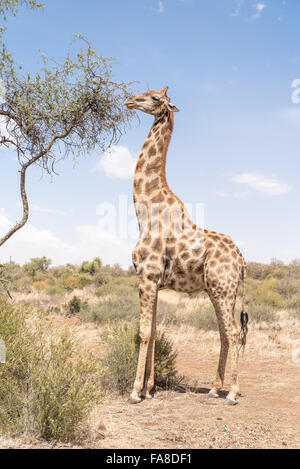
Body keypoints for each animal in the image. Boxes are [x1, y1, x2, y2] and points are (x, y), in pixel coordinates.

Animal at [125, 86, 248, 404]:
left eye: (155, 98)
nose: (129, 100)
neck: (144, 212)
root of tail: (242, 261)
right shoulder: (154, 282)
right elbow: (155, 331)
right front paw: (150, 388)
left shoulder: (146, 276)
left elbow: (143, 332)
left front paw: (135, 392)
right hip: (218, 290)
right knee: (225, 332)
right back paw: (215, 389)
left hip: (222, 288)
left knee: (234, 332)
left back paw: (232, 393)